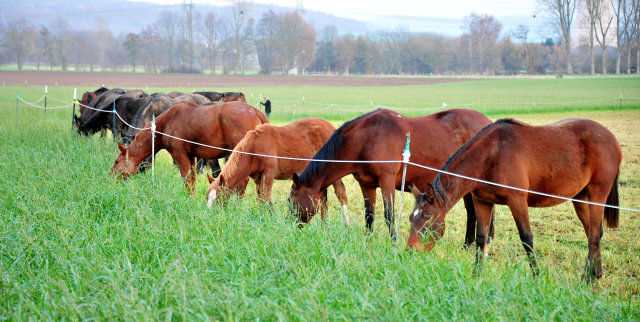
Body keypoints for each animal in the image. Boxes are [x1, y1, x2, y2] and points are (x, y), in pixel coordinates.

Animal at [111, 100, 268, 195]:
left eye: (117, 162)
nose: (110, 178)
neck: (166, 123)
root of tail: (256, 111)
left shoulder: (180, 155)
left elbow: (187, 180)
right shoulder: (191, 157)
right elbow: (192, 180)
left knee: (243, 182)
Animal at [206, 118, 350, 224]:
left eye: (218, 198)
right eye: (207, 197)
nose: (209, 215)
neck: (255, 147)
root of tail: (331, 128)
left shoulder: (268, 174)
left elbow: (264, 198)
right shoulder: (258, 178)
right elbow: (266, 200)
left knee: (341, 193)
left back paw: (347, 224)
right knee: (323, 197)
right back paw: (323, 224)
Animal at [290, 108, 496, 242]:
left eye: (291, 200)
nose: (288, 226)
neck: (365, 139)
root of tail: (488, 124)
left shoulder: (386, 180)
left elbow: (389, 215)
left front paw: (394, 242)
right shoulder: (367, 184)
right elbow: (369, 215)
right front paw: (369, 242)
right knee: (474, 211)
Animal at [408, 117, 624, 280]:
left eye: (427, 217)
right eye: (411, 218)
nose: (410, 250)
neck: (492, 155)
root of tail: (611, 138)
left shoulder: (517, 201)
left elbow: (526, 237)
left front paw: (536, 276)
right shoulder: (482, 202)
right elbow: (481, 238)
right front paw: (476, 274)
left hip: (597, 195)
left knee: (594, 235)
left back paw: (588, 278)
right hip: (580, 198)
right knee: (594, 233)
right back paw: (596, 273)